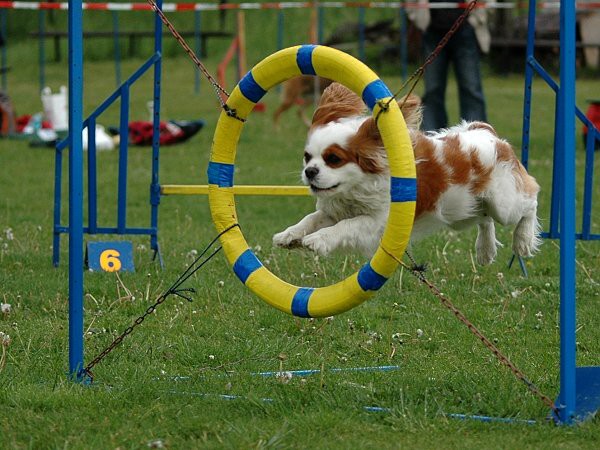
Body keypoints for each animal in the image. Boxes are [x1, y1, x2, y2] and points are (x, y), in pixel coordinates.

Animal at [272, 81, 540, 264]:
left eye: (334, 159)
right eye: (307, 157)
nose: (310, 172)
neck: (359, 186)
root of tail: (485, 131)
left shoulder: (375, 222)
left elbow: (346, 225)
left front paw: (319, 239)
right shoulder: (334, 211)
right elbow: (311, 219)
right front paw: (289, 235)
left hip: (503, 204)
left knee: (531, 200)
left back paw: (523, 240)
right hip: (463, 211)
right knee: (485, 220)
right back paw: (485, 249)